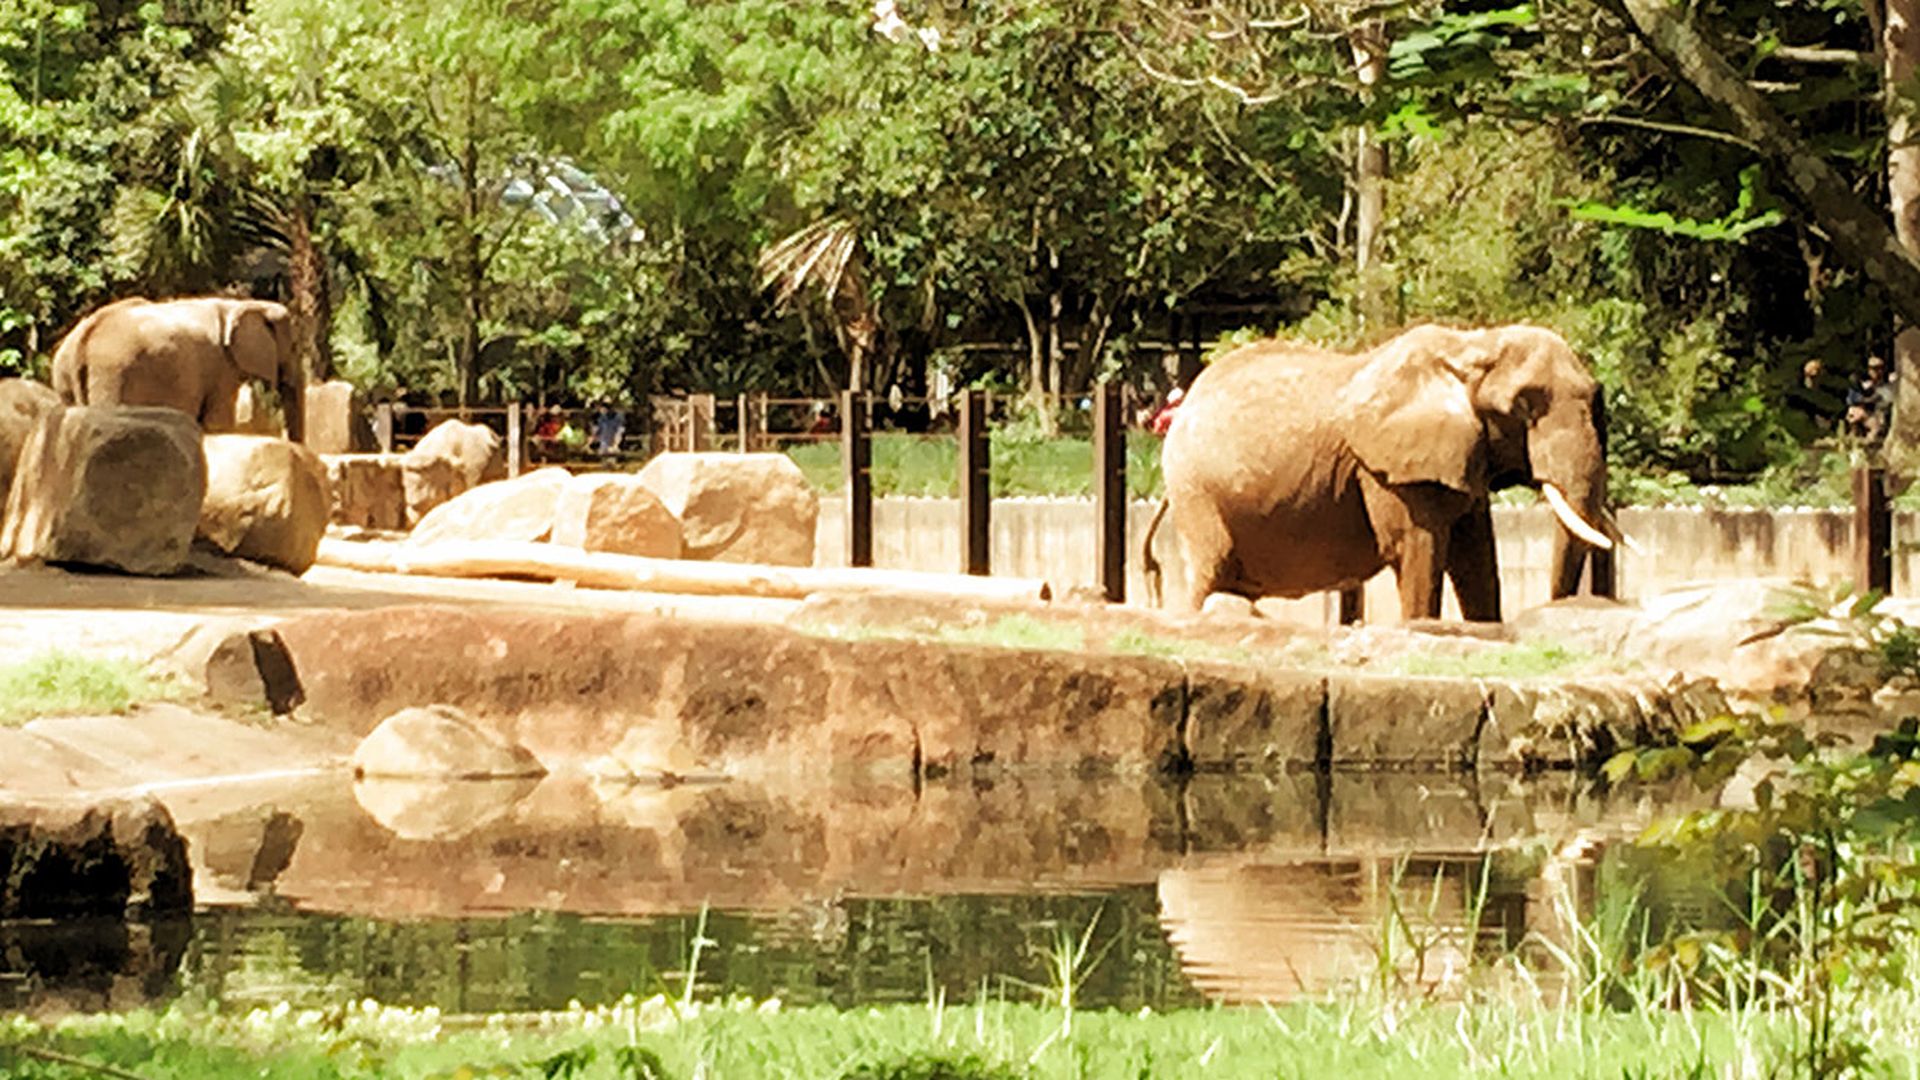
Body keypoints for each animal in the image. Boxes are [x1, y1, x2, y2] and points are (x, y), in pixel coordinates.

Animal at [51, 296, 305, 443]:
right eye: (294, 347)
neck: (241, 304)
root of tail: (83, 337)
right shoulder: (221, 367)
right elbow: (217, 421)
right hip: (111, 373)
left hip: (65, 378)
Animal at [1145, 323, 1617, 622]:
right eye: (1523, 407)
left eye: (1597, 400)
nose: (1556, 609)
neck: (1472, 344)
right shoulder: (1389, 472)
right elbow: (1418, 548)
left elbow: (1477, 557)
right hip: (1195, 489)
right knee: (1211, 568)